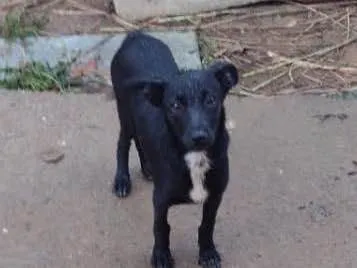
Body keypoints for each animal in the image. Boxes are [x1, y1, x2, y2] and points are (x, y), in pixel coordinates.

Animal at [110, 30, 238, 266]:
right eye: (176, 105)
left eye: (211, 100)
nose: (199, 137)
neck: (195, 158)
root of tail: (136, 35)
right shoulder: (160, 199)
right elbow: (161, 227)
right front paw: (161, 256)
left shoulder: (215, 195)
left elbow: (207, 225)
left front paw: (207, 252)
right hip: (125, 113)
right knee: (123, 143)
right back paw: (122, 181)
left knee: (141, 141)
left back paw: (148, 169)